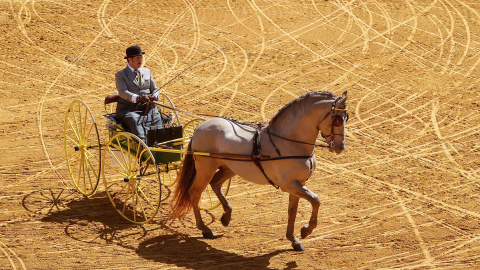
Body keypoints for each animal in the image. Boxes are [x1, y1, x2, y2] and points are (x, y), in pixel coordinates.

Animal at [171, 90, 346, 251]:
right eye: (337, 120)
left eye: (346, 118)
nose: (340, 147)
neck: (289, 142)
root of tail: (199, 128)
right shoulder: (289, 184)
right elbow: (316, 200)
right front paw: (306, 230)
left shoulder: (298, 183)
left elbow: (292, 211)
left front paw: (294, 239)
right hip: (205, 169)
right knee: (195, 193)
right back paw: (205, 229)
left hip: (229, 168)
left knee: (215, 184)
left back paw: (226, 216)